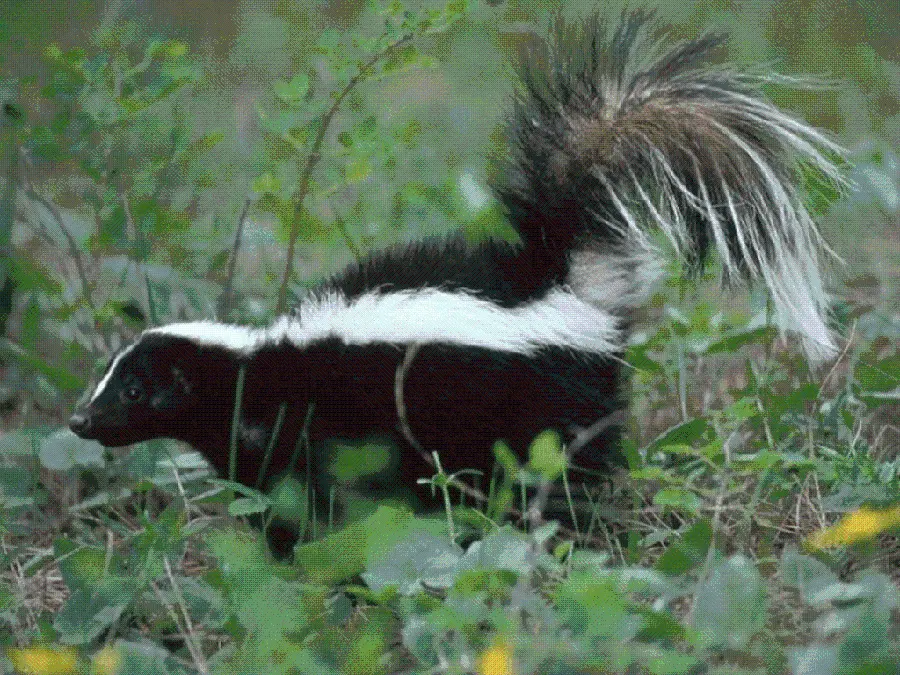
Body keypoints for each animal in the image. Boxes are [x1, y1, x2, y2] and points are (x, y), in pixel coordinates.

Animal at [68, 13, 844, 520]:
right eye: (107, 378)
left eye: (133, 389)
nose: (79, 419)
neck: (254, 366)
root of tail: (563, 281)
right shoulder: (262, 446)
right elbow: (279, 499)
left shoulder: (318, 423)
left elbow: (324, 497)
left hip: (535, 404)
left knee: (562, 468)